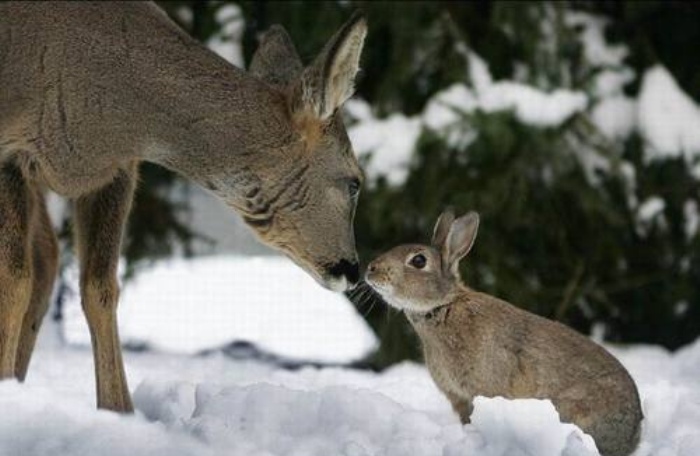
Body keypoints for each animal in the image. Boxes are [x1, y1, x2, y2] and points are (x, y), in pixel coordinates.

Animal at [0, 0, 366, 414]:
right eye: (355, 181)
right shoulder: (10, 151)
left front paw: (119, 411)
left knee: (47, 259)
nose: (352, 269)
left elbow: (100, 287)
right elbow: (14, 279)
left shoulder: (117, 171)